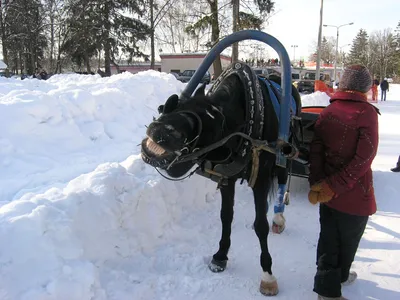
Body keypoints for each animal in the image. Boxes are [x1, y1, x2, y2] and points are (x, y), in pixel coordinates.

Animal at [142, 62, 302, 296]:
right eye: (173, 104)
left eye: (213, 125)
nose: (163, 131)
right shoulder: (227, 178)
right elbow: (226, 216)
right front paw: (220, 256)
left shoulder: (261, 178)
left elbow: (261, 225)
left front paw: (267, 274)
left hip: (284, 154)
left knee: (282, 181)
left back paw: (279, 218)